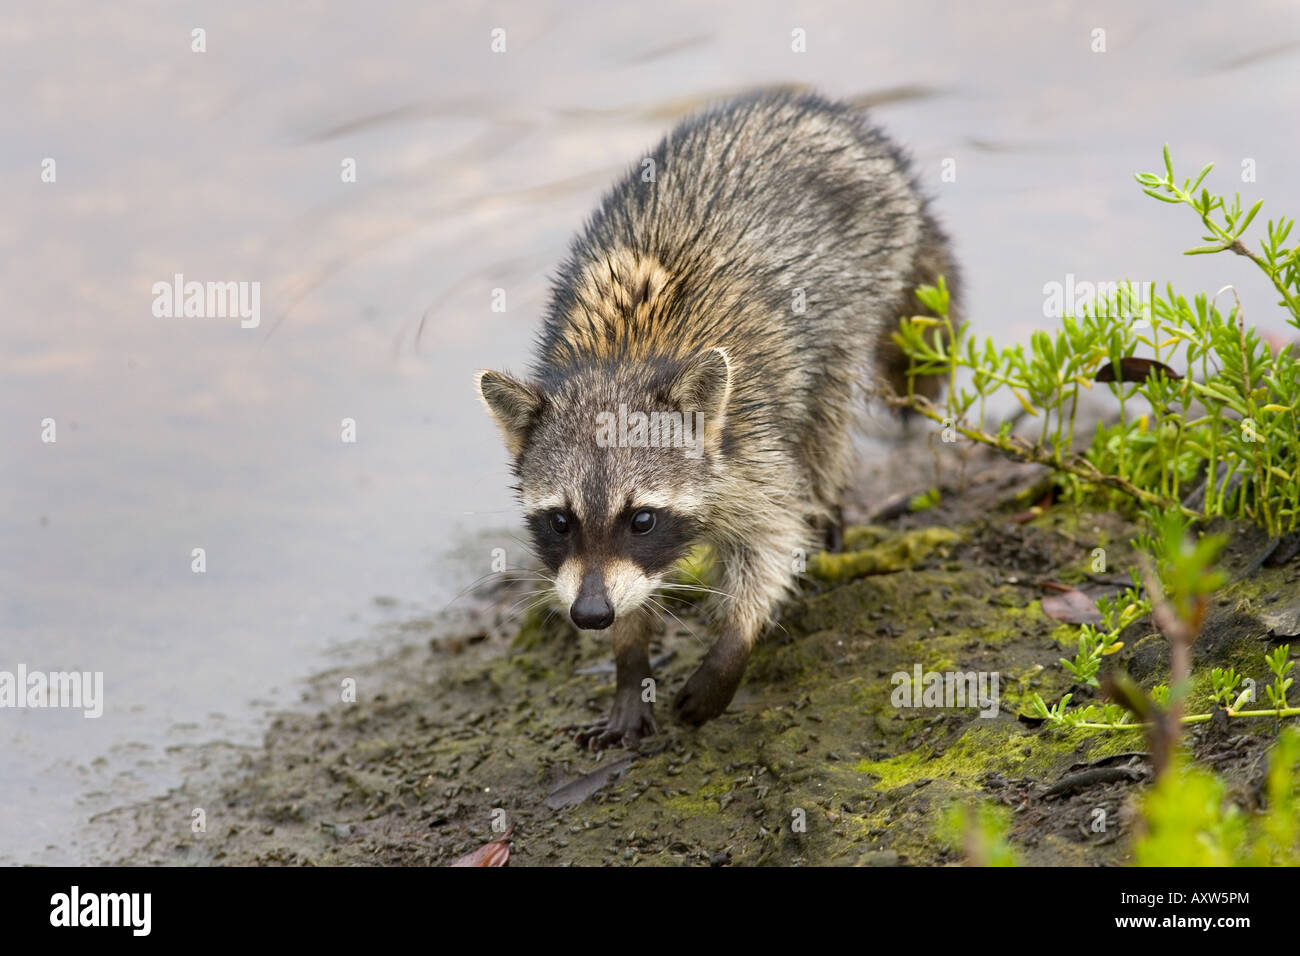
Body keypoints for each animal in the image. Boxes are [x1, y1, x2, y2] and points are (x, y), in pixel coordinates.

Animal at [476, 90, 960, 748]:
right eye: (559, 521)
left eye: (643, 519)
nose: (591, 615)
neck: (619, 364)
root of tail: (813, 109)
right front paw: (629, 662)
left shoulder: (750, 442)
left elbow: (773, 540)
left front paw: (733, 644)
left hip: (862, 281)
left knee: (825, 420)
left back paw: (829, 504)